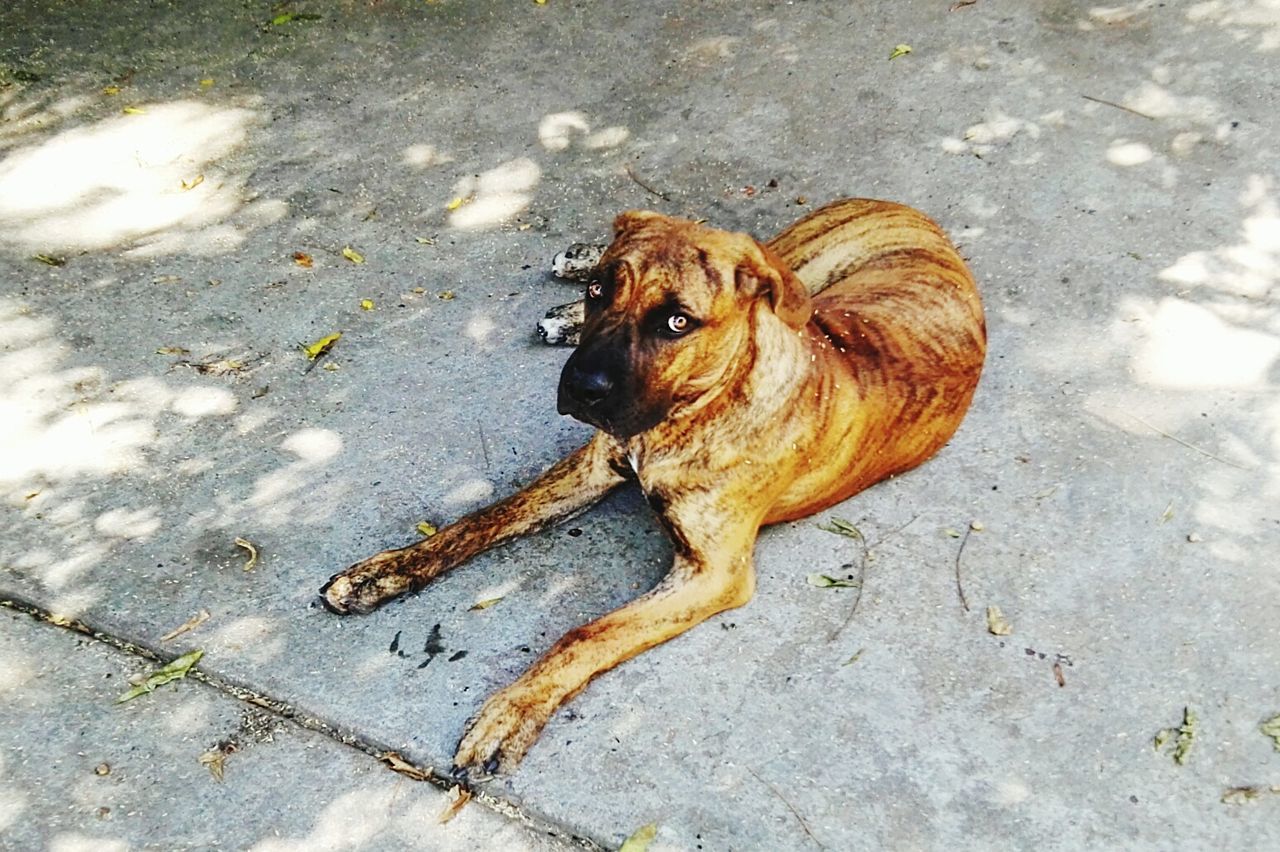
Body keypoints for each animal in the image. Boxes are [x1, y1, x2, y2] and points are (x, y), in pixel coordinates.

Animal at [322, 197, 988, 777]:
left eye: (676, 322)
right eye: (600, 294)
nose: (581, 388)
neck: (695, 408)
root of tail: (909, 212)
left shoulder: (712, 573)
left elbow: (587, 634)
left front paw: (511, 711)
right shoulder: (593, 467)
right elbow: (484, 518)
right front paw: (383, 572)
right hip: (794, 261)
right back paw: (575, 276)